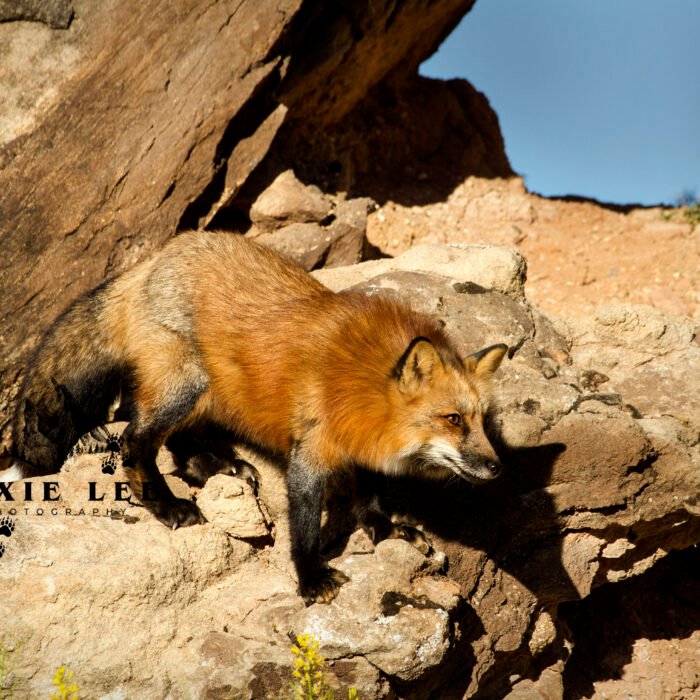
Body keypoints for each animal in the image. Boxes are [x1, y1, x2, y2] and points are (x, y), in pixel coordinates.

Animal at [0, 231, 507, 603]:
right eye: (453, 420)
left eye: (482, 422)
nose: (497, 467)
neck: (360, 380)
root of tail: (157, 256)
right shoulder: (311, 450)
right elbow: (305, 523)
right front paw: (310, 577)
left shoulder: (361, 443)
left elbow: (370, 493)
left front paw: (385, 530)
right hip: (187, 385)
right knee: (135, 439)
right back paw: (168, 505)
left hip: (207, 391)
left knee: (177, 440)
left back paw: (216, 465)